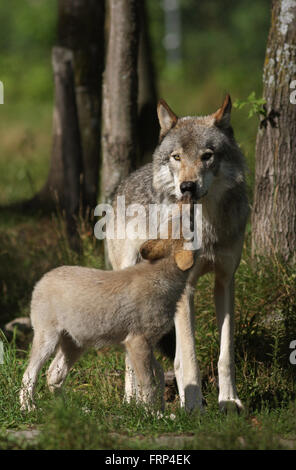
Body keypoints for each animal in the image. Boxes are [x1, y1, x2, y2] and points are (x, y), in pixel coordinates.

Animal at [107, 94, 250, 412]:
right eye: (176, 157)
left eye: (207, 156)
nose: (187, 186)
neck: (207, 226)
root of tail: (125, 182)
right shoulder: (187, 290)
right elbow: (191, 359)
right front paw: (195, 408)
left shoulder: (226, 281)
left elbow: (225, 354)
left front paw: (228, 400)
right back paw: (131, 401)